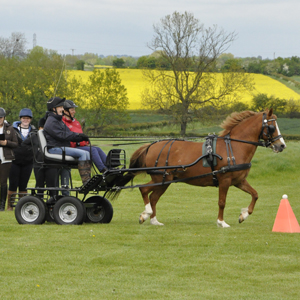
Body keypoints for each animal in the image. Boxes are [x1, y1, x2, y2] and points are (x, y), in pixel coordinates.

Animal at [119, 108, 286, 227]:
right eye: (271, 127)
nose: (281, 145)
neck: (233, 147)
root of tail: (151, 145)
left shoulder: (239, 181)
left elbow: (255, 194)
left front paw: (243, 215)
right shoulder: (225, 180)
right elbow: (222, 202)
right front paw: (221, 222)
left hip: (165, 180)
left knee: (153, 197)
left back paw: (154, 220)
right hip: (160, 178)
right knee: (144, 190)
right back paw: (146, 214)